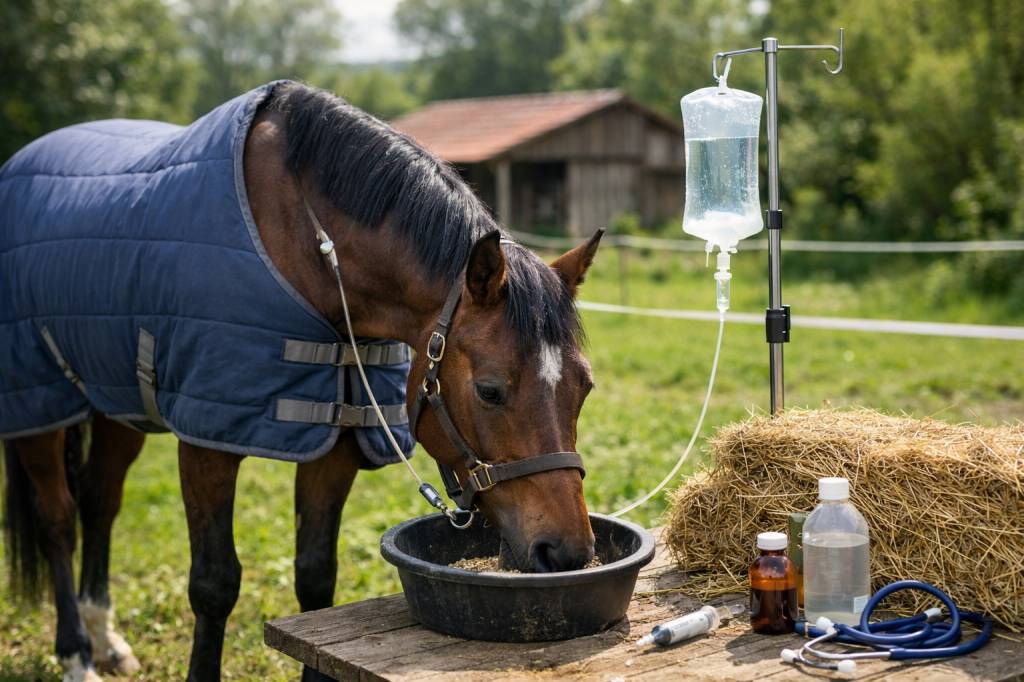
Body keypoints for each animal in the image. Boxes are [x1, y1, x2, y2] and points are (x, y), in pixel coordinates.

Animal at [0, 80, 603, 681]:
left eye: (584, 387)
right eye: (490, 390)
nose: (567, 554)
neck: (311, 245)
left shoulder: (336, 439)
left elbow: (315, 577)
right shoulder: (207, 442)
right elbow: (214, 585)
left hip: (116, 403)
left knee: (99, 502)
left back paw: (104, 637)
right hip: (40, 409)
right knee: (58, 520)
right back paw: (77, 653)